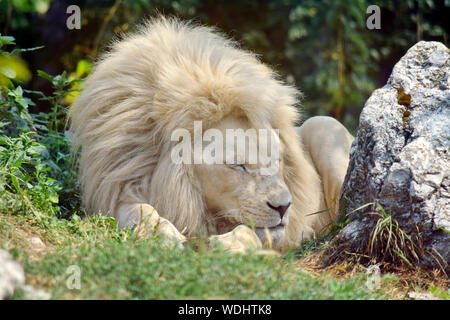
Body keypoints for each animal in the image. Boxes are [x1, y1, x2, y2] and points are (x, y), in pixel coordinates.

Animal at [70, 16, 354, 252]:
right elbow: (138, 211)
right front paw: (163, 234)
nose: (285, 207)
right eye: (238, 165)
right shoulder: (121, 184)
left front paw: (225, 244)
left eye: (278, 161)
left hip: (324, 125)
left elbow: (253, 233)